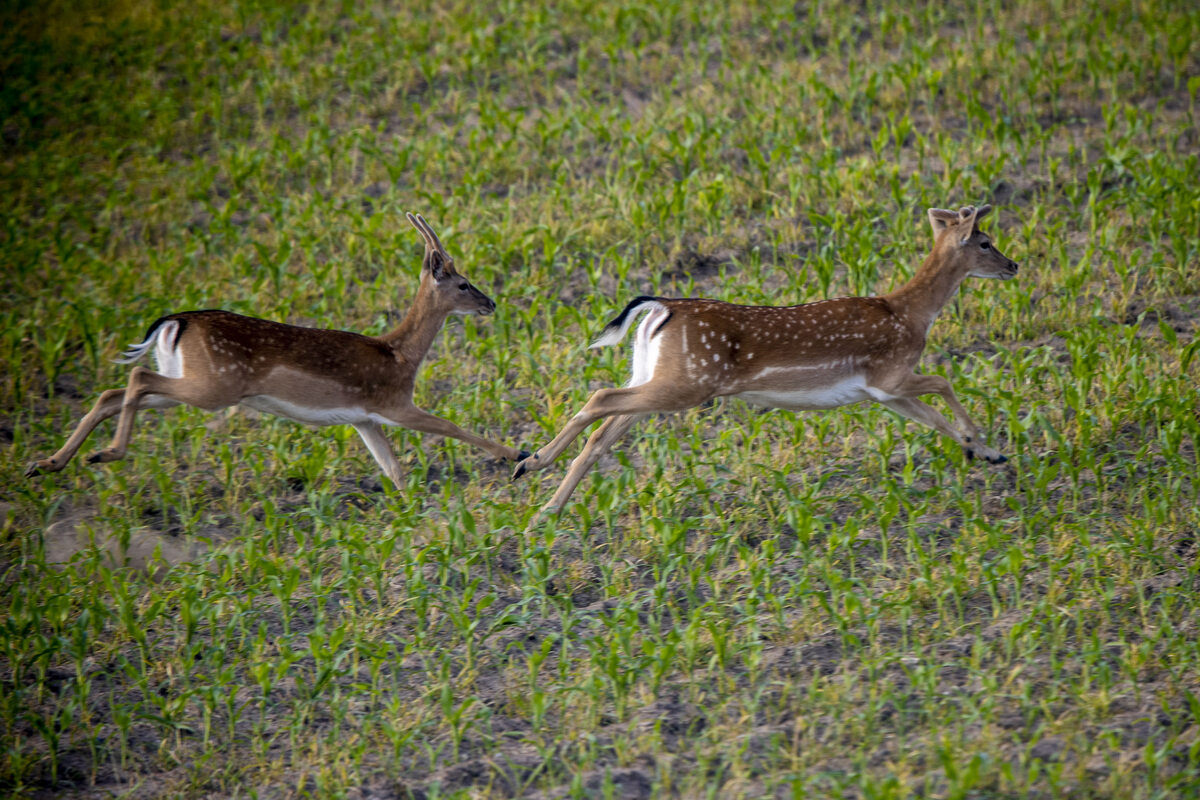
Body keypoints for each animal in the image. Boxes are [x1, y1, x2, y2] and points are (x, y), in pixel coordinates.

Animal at [27, 214, 525, 489]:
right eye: (463, 283)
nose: (491, 303)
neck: (400, 355)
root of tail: (176, 321)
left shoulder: (364, 419)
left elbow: (395, 471)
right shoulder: (393, 403)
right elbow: (450, 426)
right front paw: (517, 456)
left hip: (190, 382)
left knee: (115, 392)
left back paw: (48, 463)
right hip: (214, 385)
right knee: (135, 379)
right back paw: (106, 454)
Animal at [511, 205, 1017, 520]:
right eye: (986, 242)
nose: (1014, 265)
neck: (910, 313)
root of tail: (660, 307)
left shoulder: (881, 391)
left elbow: (933, 418)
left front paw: (982, 451)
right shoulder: (891, 373)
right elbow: (943, 382)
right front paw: (984, 445)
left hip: (657, 376)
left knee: (604, 430)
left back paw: (544, 502)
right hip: (689, 381)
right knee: (601, 397)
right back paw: (529, 466)